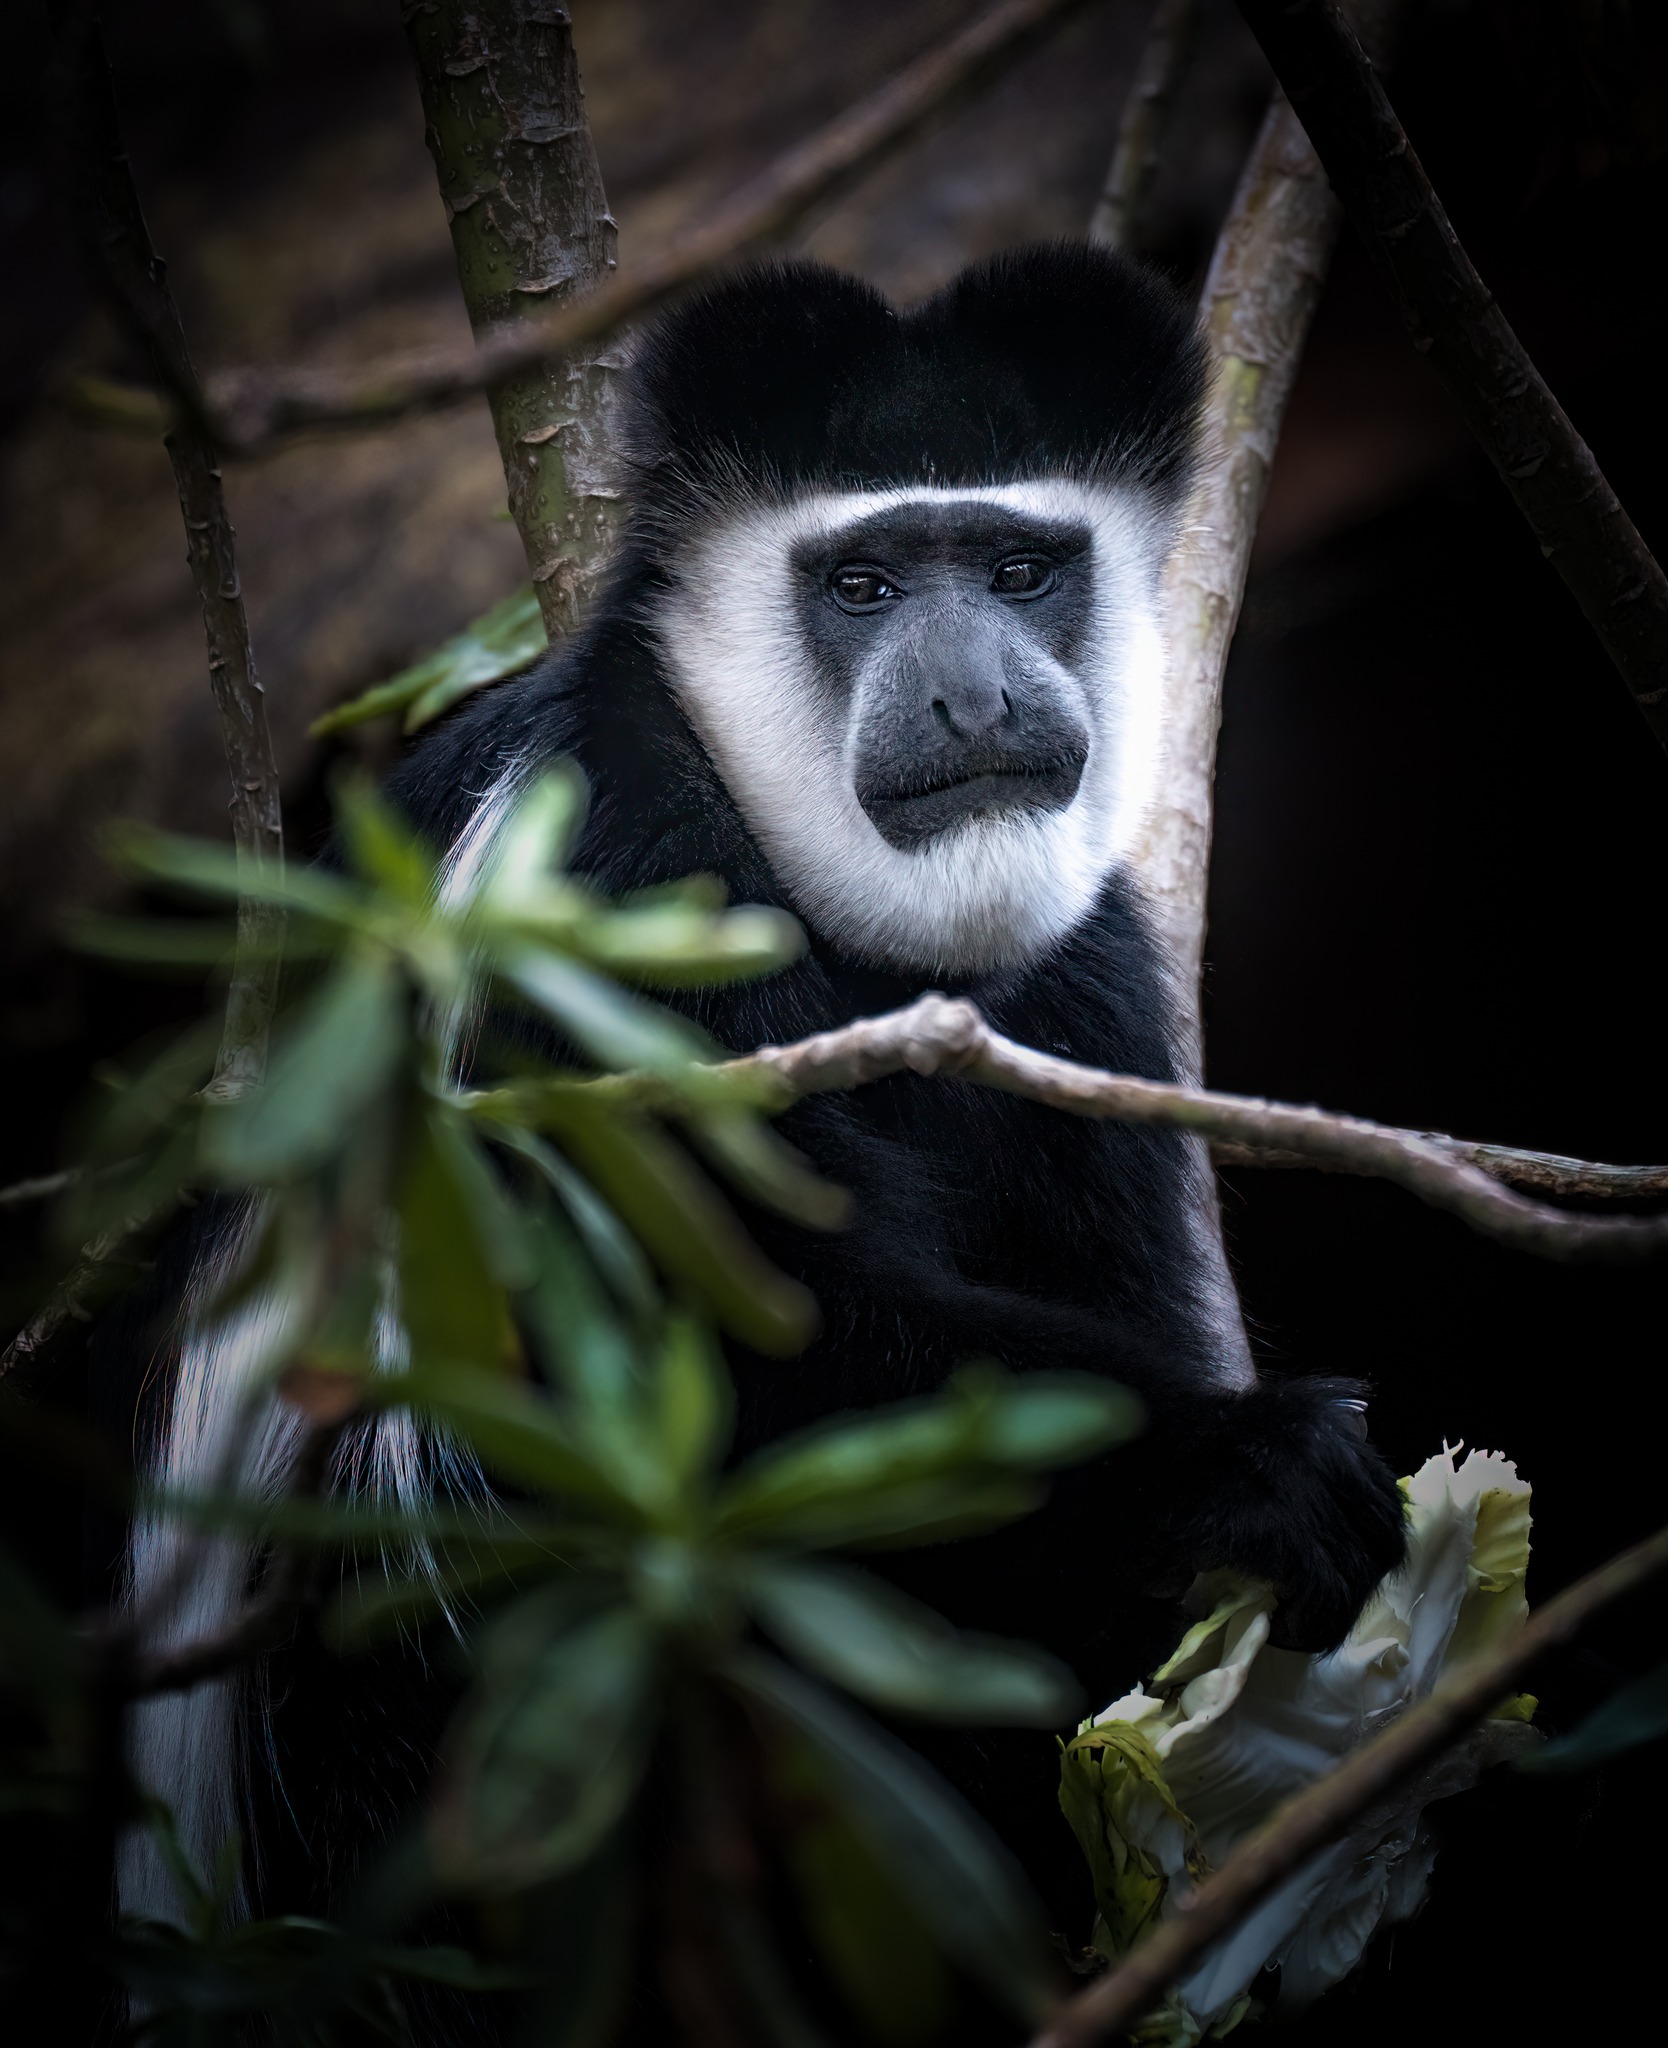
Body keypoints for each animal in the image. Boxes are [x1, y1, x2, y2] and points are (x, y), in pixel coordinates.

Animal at [114, 242, 1405, 1971]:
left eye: (1018, 569)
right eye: (862, 587)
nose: (976, 703)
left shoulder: (1096, 983)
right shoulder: (611, 892)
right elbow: (736, 1358)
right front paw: (1253, 1464)